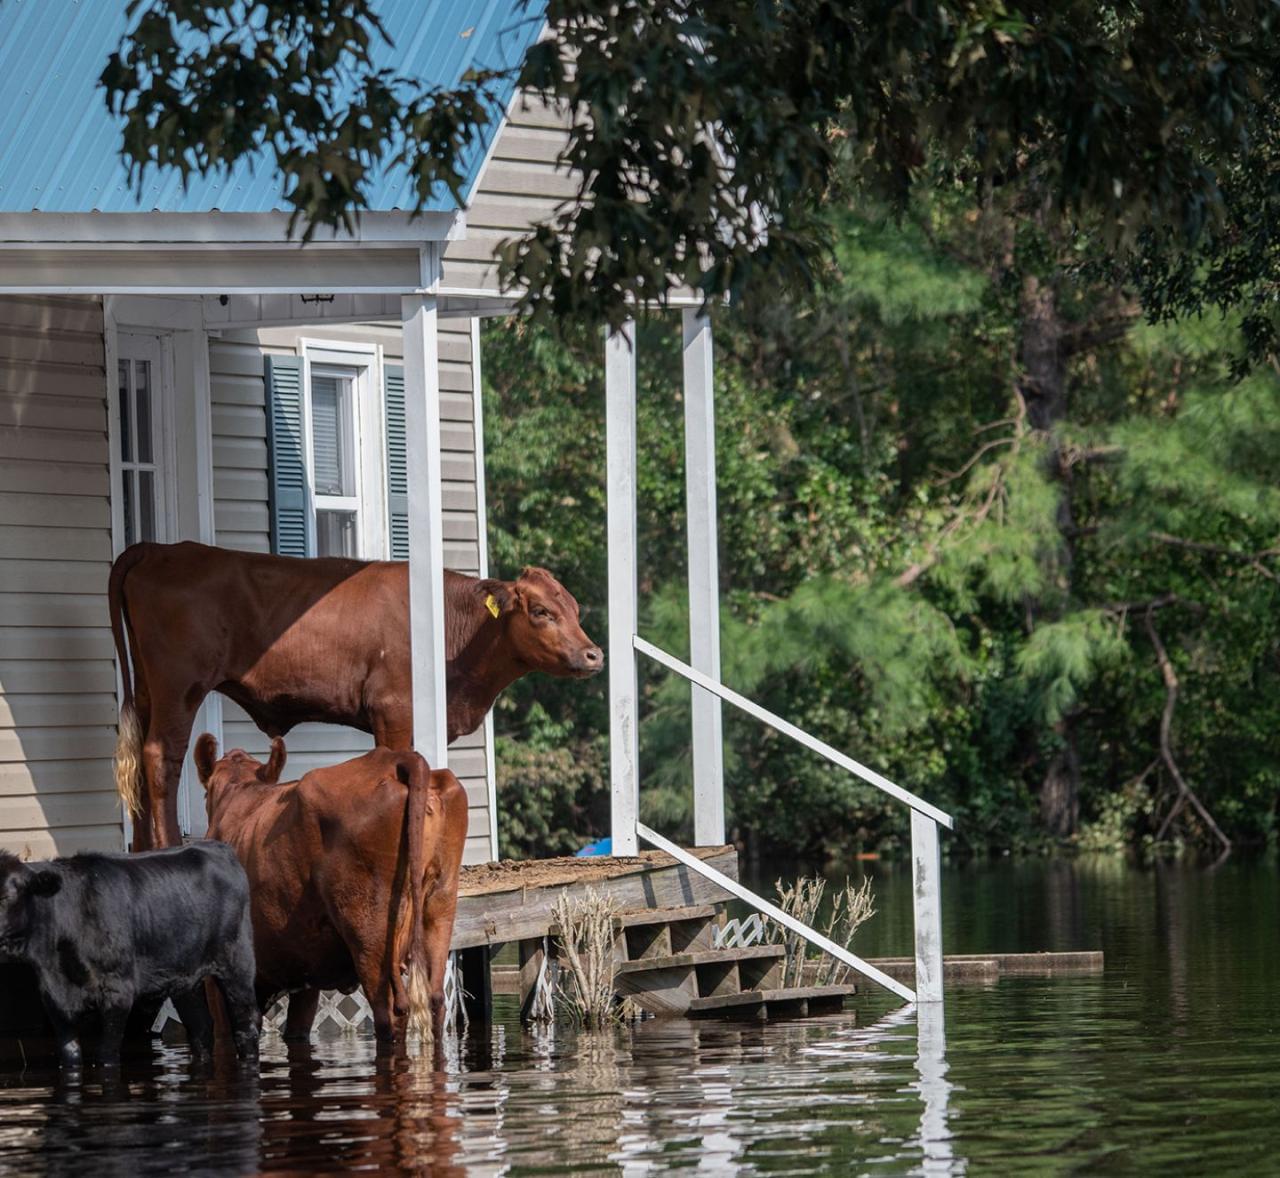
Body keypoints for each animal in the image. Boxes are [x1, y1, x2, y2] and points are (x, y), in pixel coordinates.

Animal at [0, 839, 259, 1065]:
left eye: (7, 896)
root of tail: (216, 846)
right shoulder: (54, 1001)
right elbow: (70, 1055)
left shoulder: (118, 991)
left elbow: (106, 1054)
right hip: (185, 978)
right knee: (201, 1027)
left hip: (237, 962)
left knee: (246, 1023)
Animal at [107, 542, 601, 845]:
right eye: (541, 611)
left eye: (575, 608)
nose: (594, 654)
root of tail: (161, 549)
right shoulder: (394, 710)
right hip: (178, 686)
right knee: (160, 757)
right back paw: (166, 846)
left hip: (149, 688)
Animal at [192, 732, 468, 1044]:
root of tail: (396, 759)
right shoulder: (305, 974)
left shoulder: (218, 979)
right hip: (439, 903)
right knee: (435, 1001)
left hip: (369, 932)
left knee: (390, 1012)